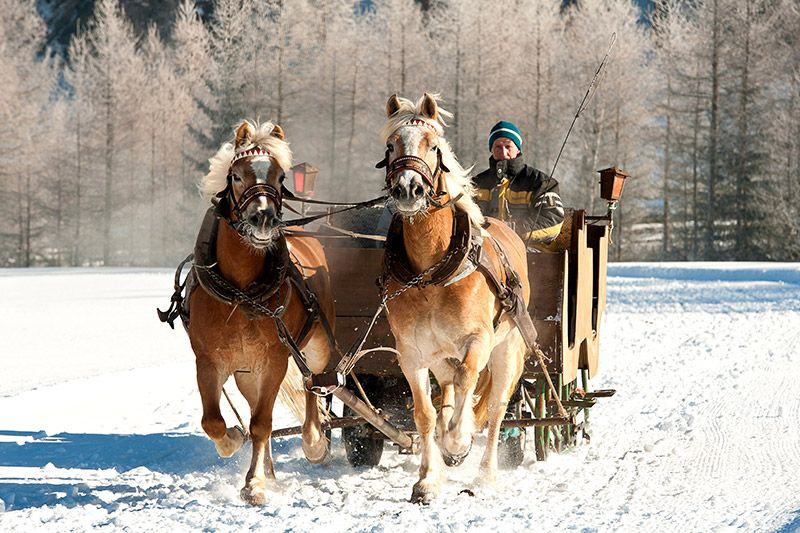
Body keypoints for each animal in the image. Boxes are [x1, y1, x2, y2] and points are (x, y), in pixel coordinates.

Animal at [188, 119, 332, 502]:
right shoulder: (209, 361)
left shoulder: (275, 360)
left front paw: (254, 483)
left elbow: (263, 423)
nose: (264, 218)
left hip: (313, 348)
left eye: (281, 177)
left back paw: (314, 441)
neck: (241, 292)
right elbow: (215, 422)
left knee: (314, 383)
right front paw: (234, 442)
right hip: (246, 372)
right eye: (237, 175)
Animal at [380, 92, 532, 502]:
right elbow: (425, 414)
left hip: (508, 349)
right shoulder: (411, 352)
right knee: (449, 387)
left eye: (433, 146)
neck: (432, 273)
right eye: (391, 145)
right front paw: (428, 479)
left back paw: (484, 472)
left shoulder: (477, 339)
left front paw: (458, 441)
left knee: (495, 407)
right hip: (439, 355)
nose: (408, 189)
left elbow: (468, 382)